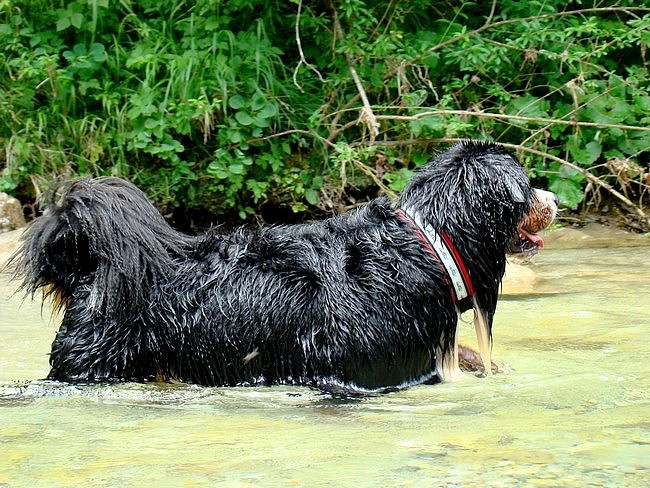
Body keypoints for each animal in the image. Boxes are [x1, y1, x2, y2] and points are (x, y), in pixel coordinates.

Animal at [10, 141, 556, 392]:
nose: (555, 199)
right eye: (528, 186)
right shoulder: (374, 370)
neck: (428, 241)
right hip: (94, 362)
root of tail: (90, 268)